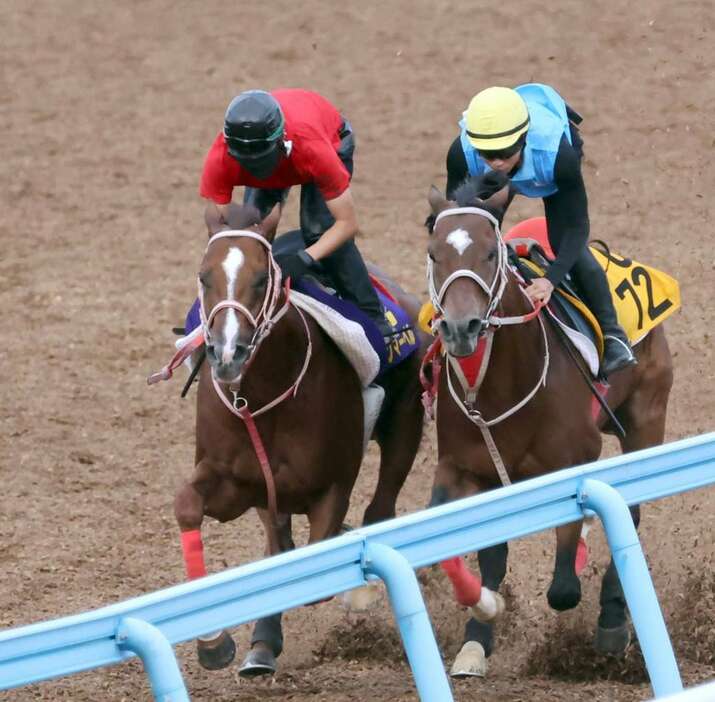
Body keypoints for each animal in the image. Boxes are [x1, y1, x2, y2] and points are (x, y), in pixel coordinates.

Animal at [174, 206, 428, 680]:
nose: (227, 354)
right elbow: (188, 506)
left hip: (406, 423)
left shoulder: (332, 489)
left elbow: (315, 568)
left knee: (379, 508)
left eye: (261, 279)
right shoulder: (237, 483)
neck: (261, 400)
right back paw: (261, 646)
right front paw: (215, 643)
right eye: (203, 276)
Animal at [422, 176, 676, 680]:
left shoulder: (574, 459)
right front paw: (481, 622)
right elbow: (459, 552)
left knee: (632, 510)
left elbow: (563, 587)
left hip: (646, 416)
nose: (461, 328)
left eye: (490, 254)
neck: (502, 383)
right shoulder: (462, 468)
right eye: (434, 254)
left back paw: (612, 620)